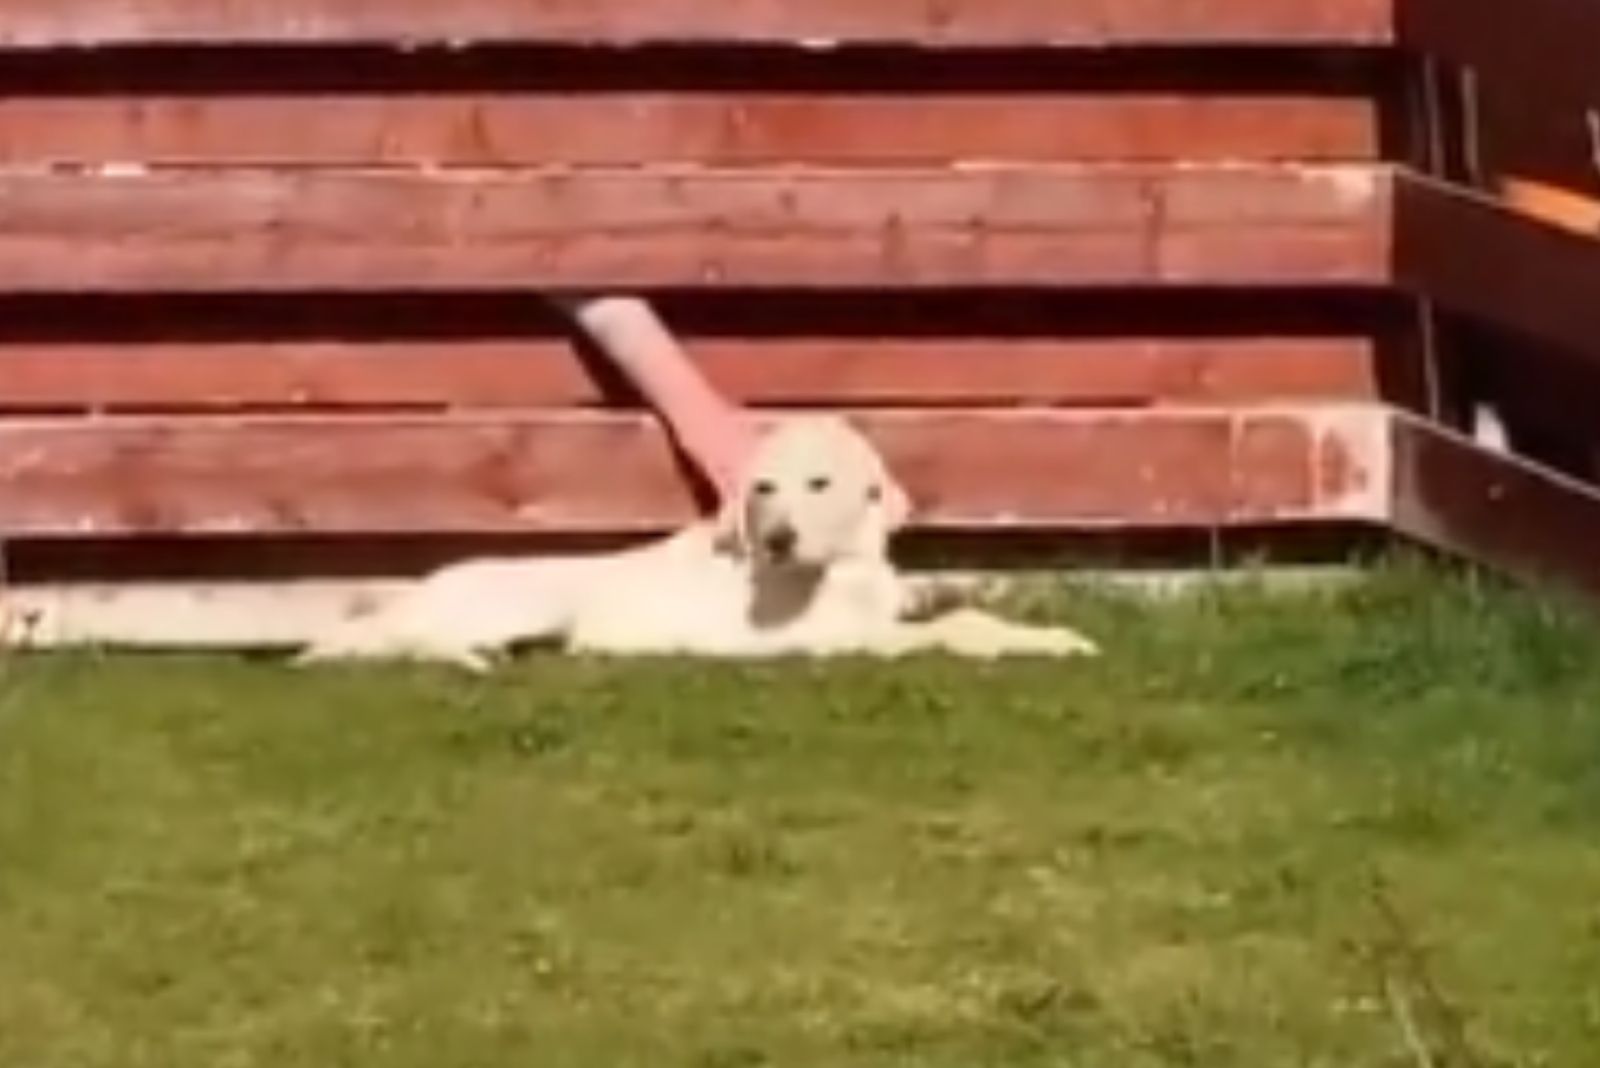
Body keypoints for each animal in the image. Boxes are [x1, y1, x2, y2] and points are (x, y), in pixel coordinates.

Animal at [294, 415, 1100, 671]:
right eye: (762, 488)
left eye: (817, 483)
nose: (777, 541)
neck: (840, 568)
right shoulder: (833, 640)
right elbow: (955, 629)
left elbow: (970, 611)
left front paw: (1053, 636)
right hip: (528, 605)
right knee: (387, 649)